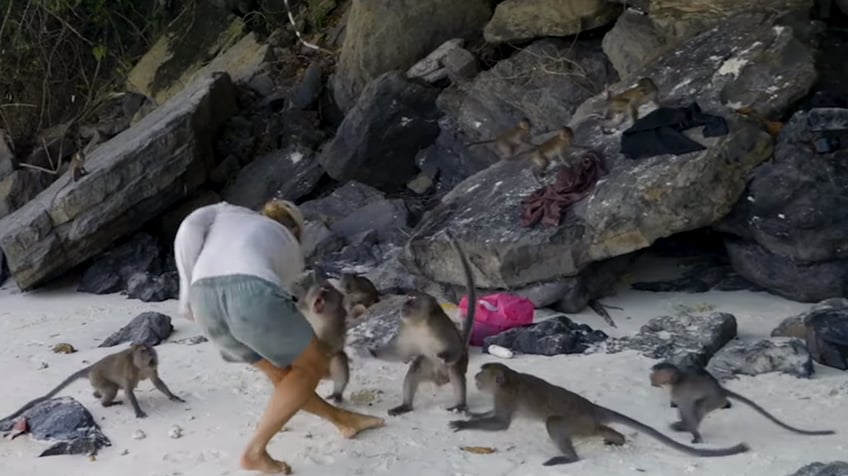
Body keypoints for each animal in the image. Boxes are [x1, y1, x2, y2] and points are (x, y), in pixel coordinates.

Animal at [1, 342, 185, 420]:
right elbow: (128, 390)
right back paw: (107, 403)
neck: (140, 365)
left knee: (104, 390)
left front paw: (173, 397)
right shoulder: (129, 371)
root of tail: (92, 367)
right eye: (143, 350)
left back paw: (97, 395)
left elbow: (157, 382)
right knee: (111, 389)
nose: (152, 353)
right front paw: (138, 411)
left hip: (96, 380)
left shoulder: (151, 369)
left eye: (150, 349)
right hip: (98, 377)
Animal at [450, 362, 748, 466]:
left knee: (554, 422)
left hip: (577, 420)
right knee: (598, 428)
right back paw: (616, 437)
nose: (475, 379)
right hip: (586, 422)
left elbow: (501, 424)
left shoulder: (506, 397)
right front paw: (472, 417)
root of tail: (591, 408)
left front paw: (464, 426)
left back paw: (570, 458)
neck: (509, 380)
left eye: (480, 376)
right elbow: (492, 416)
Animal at [648, 362, 836, 444]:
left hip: (713, 400)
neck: (676, 380)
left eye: (657, 373)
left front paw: (687, 428)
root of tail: (722, 391)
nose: (651, 378)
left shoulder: (680, 394)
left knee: (698, 408)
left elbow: (687, 410)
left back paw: (694, 433)